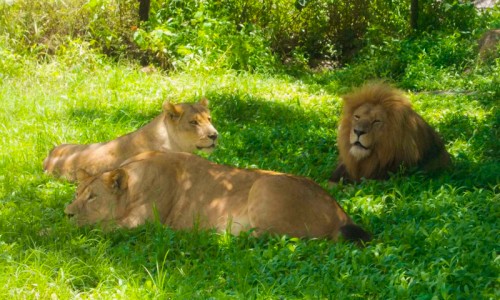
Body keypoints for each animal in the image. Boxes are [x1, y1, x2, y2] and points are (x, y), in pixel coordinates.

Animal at [65, 151, 372, 245]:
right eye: (77, 194)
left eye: (92, 197)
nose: (67, 213)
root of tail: (340, 210)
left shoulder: (144, 223)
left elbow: (99, 227)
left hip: (265, 184)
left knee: (277, 236)